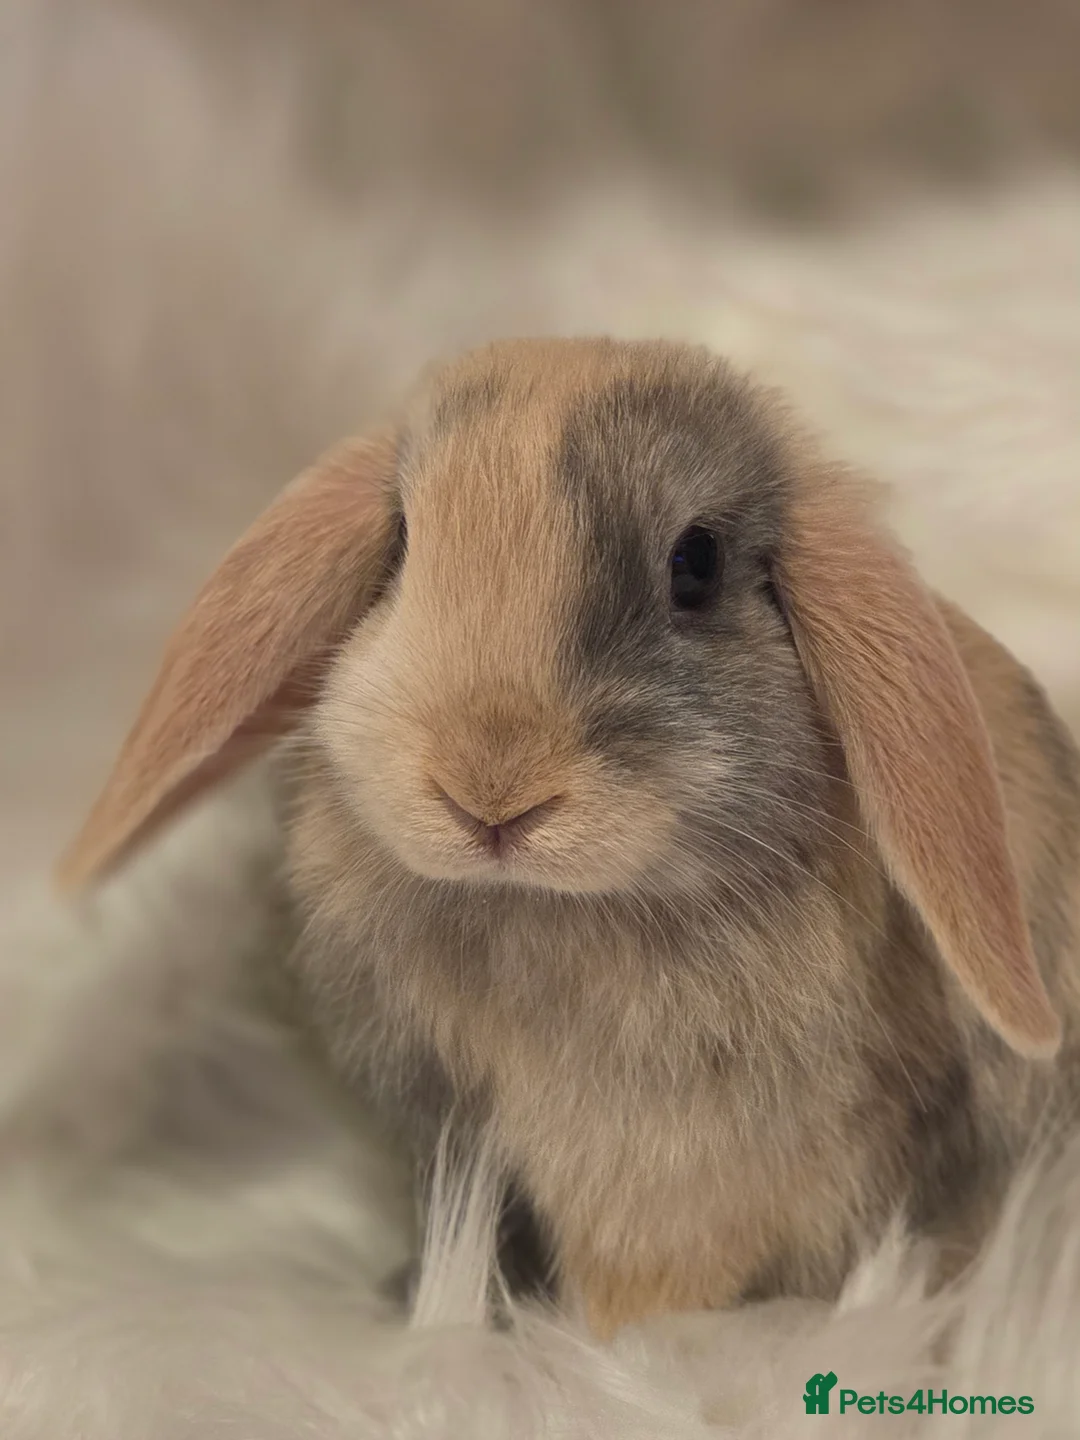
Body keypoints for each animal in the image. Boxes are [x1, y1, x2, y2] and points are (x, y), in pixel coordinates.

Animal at [57, 336, 1080, 1340]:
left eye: (696, 564)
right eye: (401, 542)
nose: (489, 790)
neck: (546, 912)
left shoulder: (698, 1172)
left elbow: (659, 1285)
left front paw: (619, 1354)